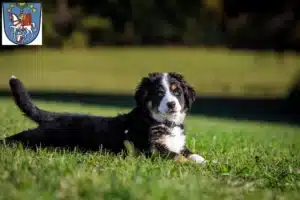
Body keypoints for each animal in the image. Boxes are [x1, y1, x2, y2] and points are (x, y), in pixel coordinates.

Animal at [1, 72, 206, 165]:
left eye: (177, 92)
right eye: (159, 93)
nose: (171, 104)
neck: (163, 122)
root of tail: (56, 116)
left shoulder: (177, 144)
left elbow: (190, 153)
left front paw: (205, 161)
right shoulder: (152, 150)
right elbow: (178, 157)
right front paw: (197, 166)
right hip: (39, 138)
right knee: (15, 139)